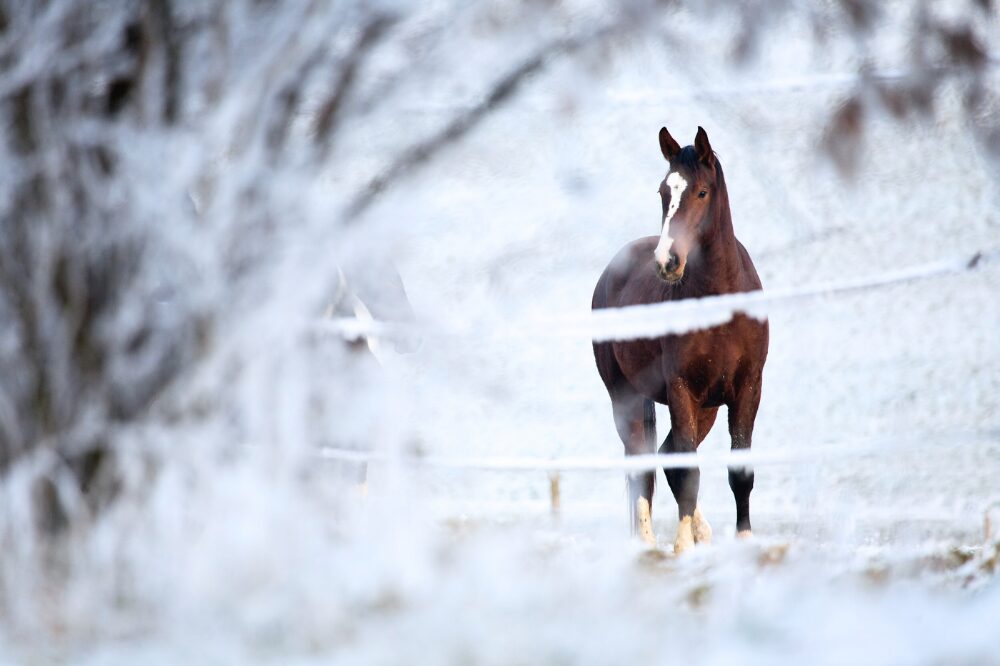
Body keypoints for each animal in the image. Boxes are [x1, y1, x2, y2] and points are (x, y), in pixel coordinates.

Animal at [591, 126, 768, 554]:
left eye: (702, 192)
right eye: (662, 192)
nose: (667, 261)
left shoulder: (747, 388)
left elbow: (739, 469)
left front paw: (743, 538)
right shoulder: (681, 388)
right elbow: (687, 468)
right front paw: (683, 546)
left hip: (706, 407)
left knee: (666, 452)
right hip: (625, 397)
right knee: (642, 460)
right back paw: (648, 541)